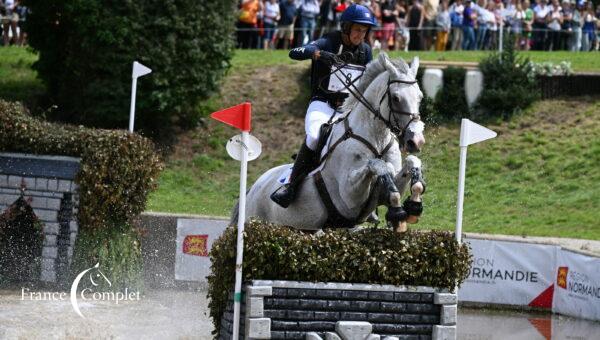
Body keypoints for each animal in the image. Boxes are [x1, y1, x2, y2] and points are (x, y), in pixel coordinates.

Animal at [234, 52, 426, 231]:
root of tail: (253, 188)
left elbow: (411, 162)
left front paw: (413, 205)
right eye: (395, 98)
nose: (415, 140)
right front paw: (397, 211)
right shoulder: (349, 197)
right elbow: (378, 165)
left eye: (420, 97)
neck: (376, 138)